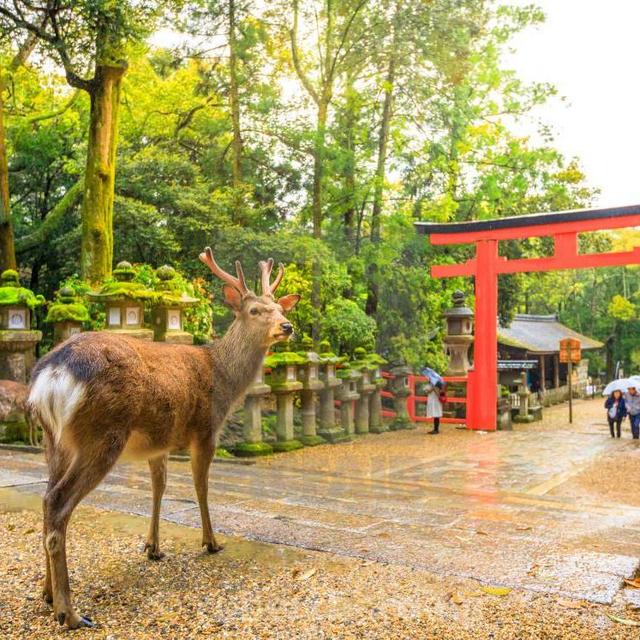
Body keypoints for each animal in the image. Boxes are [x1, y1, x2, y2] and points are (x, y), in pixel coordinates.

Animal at [27, 248, 300, 630]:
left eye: (280, 307)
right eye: (255, 311)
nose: (286, 327)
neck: (225, 380)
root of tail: (51, 375)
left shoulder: (159, 443)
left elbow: (159, 488)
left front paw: (152, 547)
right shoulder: (206, 429)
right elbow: (200, 487)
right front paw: (211, 542)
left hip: (55, 440)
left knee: (45, 499)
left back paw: (47, 594)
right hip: (102, 434)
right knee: (57, 502)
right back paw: (70, 612)